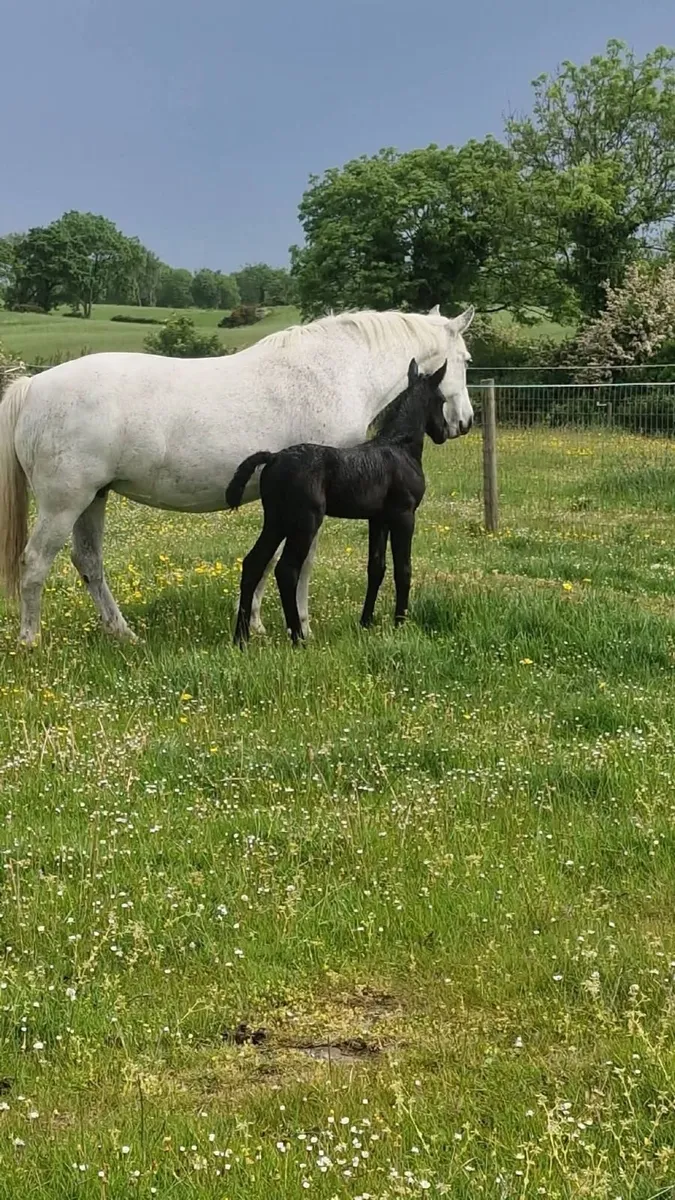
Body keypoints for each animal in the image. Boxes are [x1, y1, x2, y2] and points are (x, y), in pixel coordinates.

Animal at [227, 358, 449, 644]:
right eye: (442, 399)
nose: (444, 432)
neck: (400, 447)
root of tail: (274, 457)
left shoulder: (378, 519)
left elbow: (376, 567)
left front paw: (366, 622)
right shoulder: (404, 515)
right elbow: (403, 569)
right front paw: (400, 623)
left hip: (276, 521)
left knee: (253, 563)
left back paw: (241, 638)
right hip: (305, 521)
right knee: (286, 570)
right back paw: (298, 638)